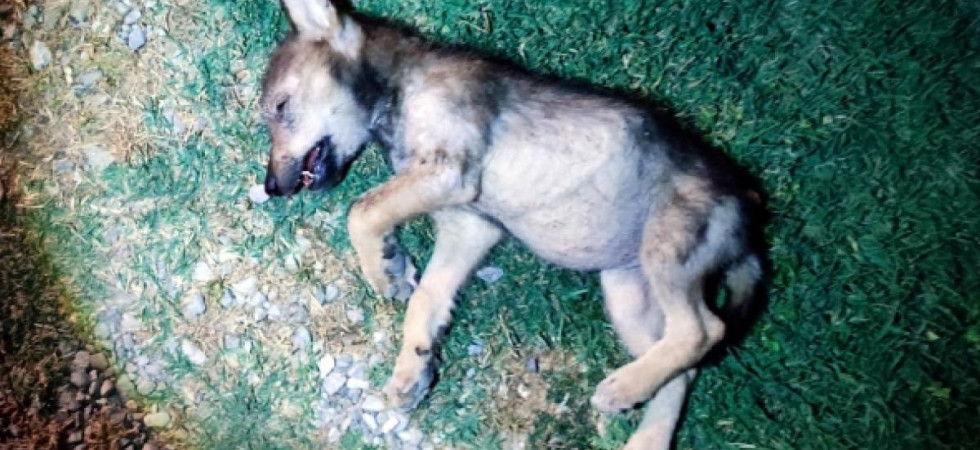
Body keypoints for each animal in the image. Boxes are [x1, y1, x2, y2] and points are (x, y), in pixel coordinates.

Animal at [260, 1, 764, 448]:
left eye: (280, 107)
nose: (272, 187)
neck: (400, 85)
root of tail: (748, 214)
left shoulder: (451, 172)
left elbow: (362, 211)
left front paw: (384, 271)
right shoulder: (469, 224)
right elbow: (427, 298)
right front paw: (414, 365)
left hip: (667, 248)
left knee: (704, 330)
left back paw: (622, 387)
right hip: (628, 294)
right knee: (685, 370)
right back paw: (644, 429)